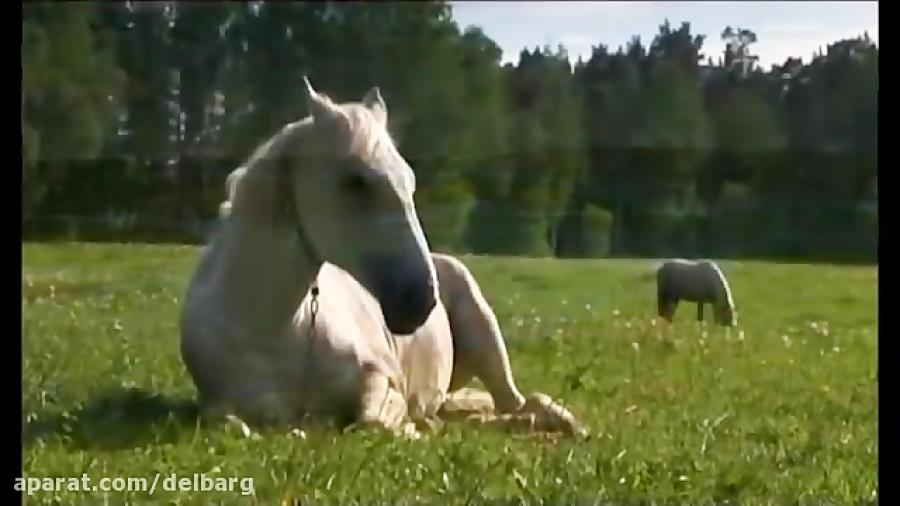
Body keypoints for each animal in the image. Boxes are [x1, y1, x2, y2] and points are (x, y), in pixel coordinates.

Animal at [178, 77, 584, 436]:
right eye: (355, 181)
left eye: (409, 180)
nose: (421, 300)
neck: (272, 331)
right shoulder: (218, 405)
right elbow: (232, 423)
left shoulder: (381, 377)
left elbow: (373, 420)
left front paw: (411, 429)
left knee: (518, 404)